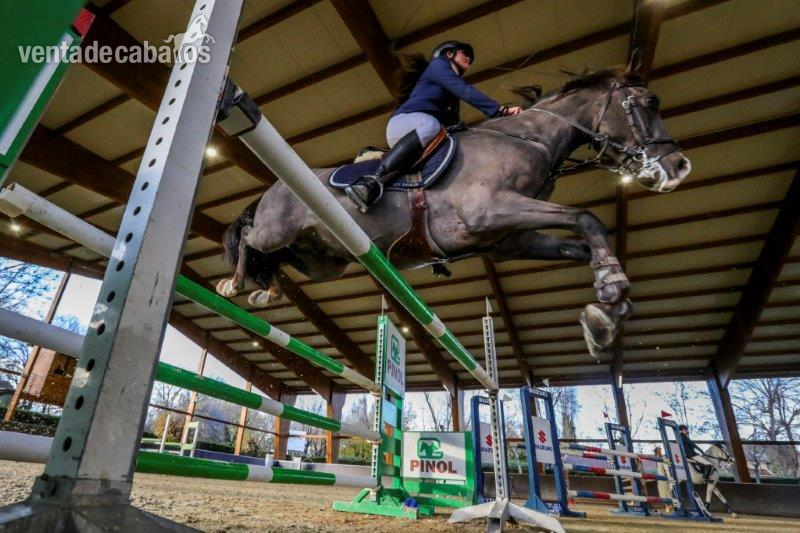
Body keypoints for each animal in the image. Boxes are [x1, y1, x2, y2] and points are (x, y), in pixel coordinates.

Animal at [215, 67, 692, 356]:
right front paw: (611, 295)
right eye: (649, 102)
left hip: (321, 261)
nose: (679, 167)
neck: (529, 139)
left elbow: (586, 240)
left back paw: (266, 292)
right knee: (249, 238)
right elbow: (586, 217)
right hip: (277, 229)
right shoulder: (491, 213)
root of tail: (273, 187)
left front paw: (605, 316)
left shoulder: (512, 239)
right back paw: (233, 284)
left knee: (276, 261)